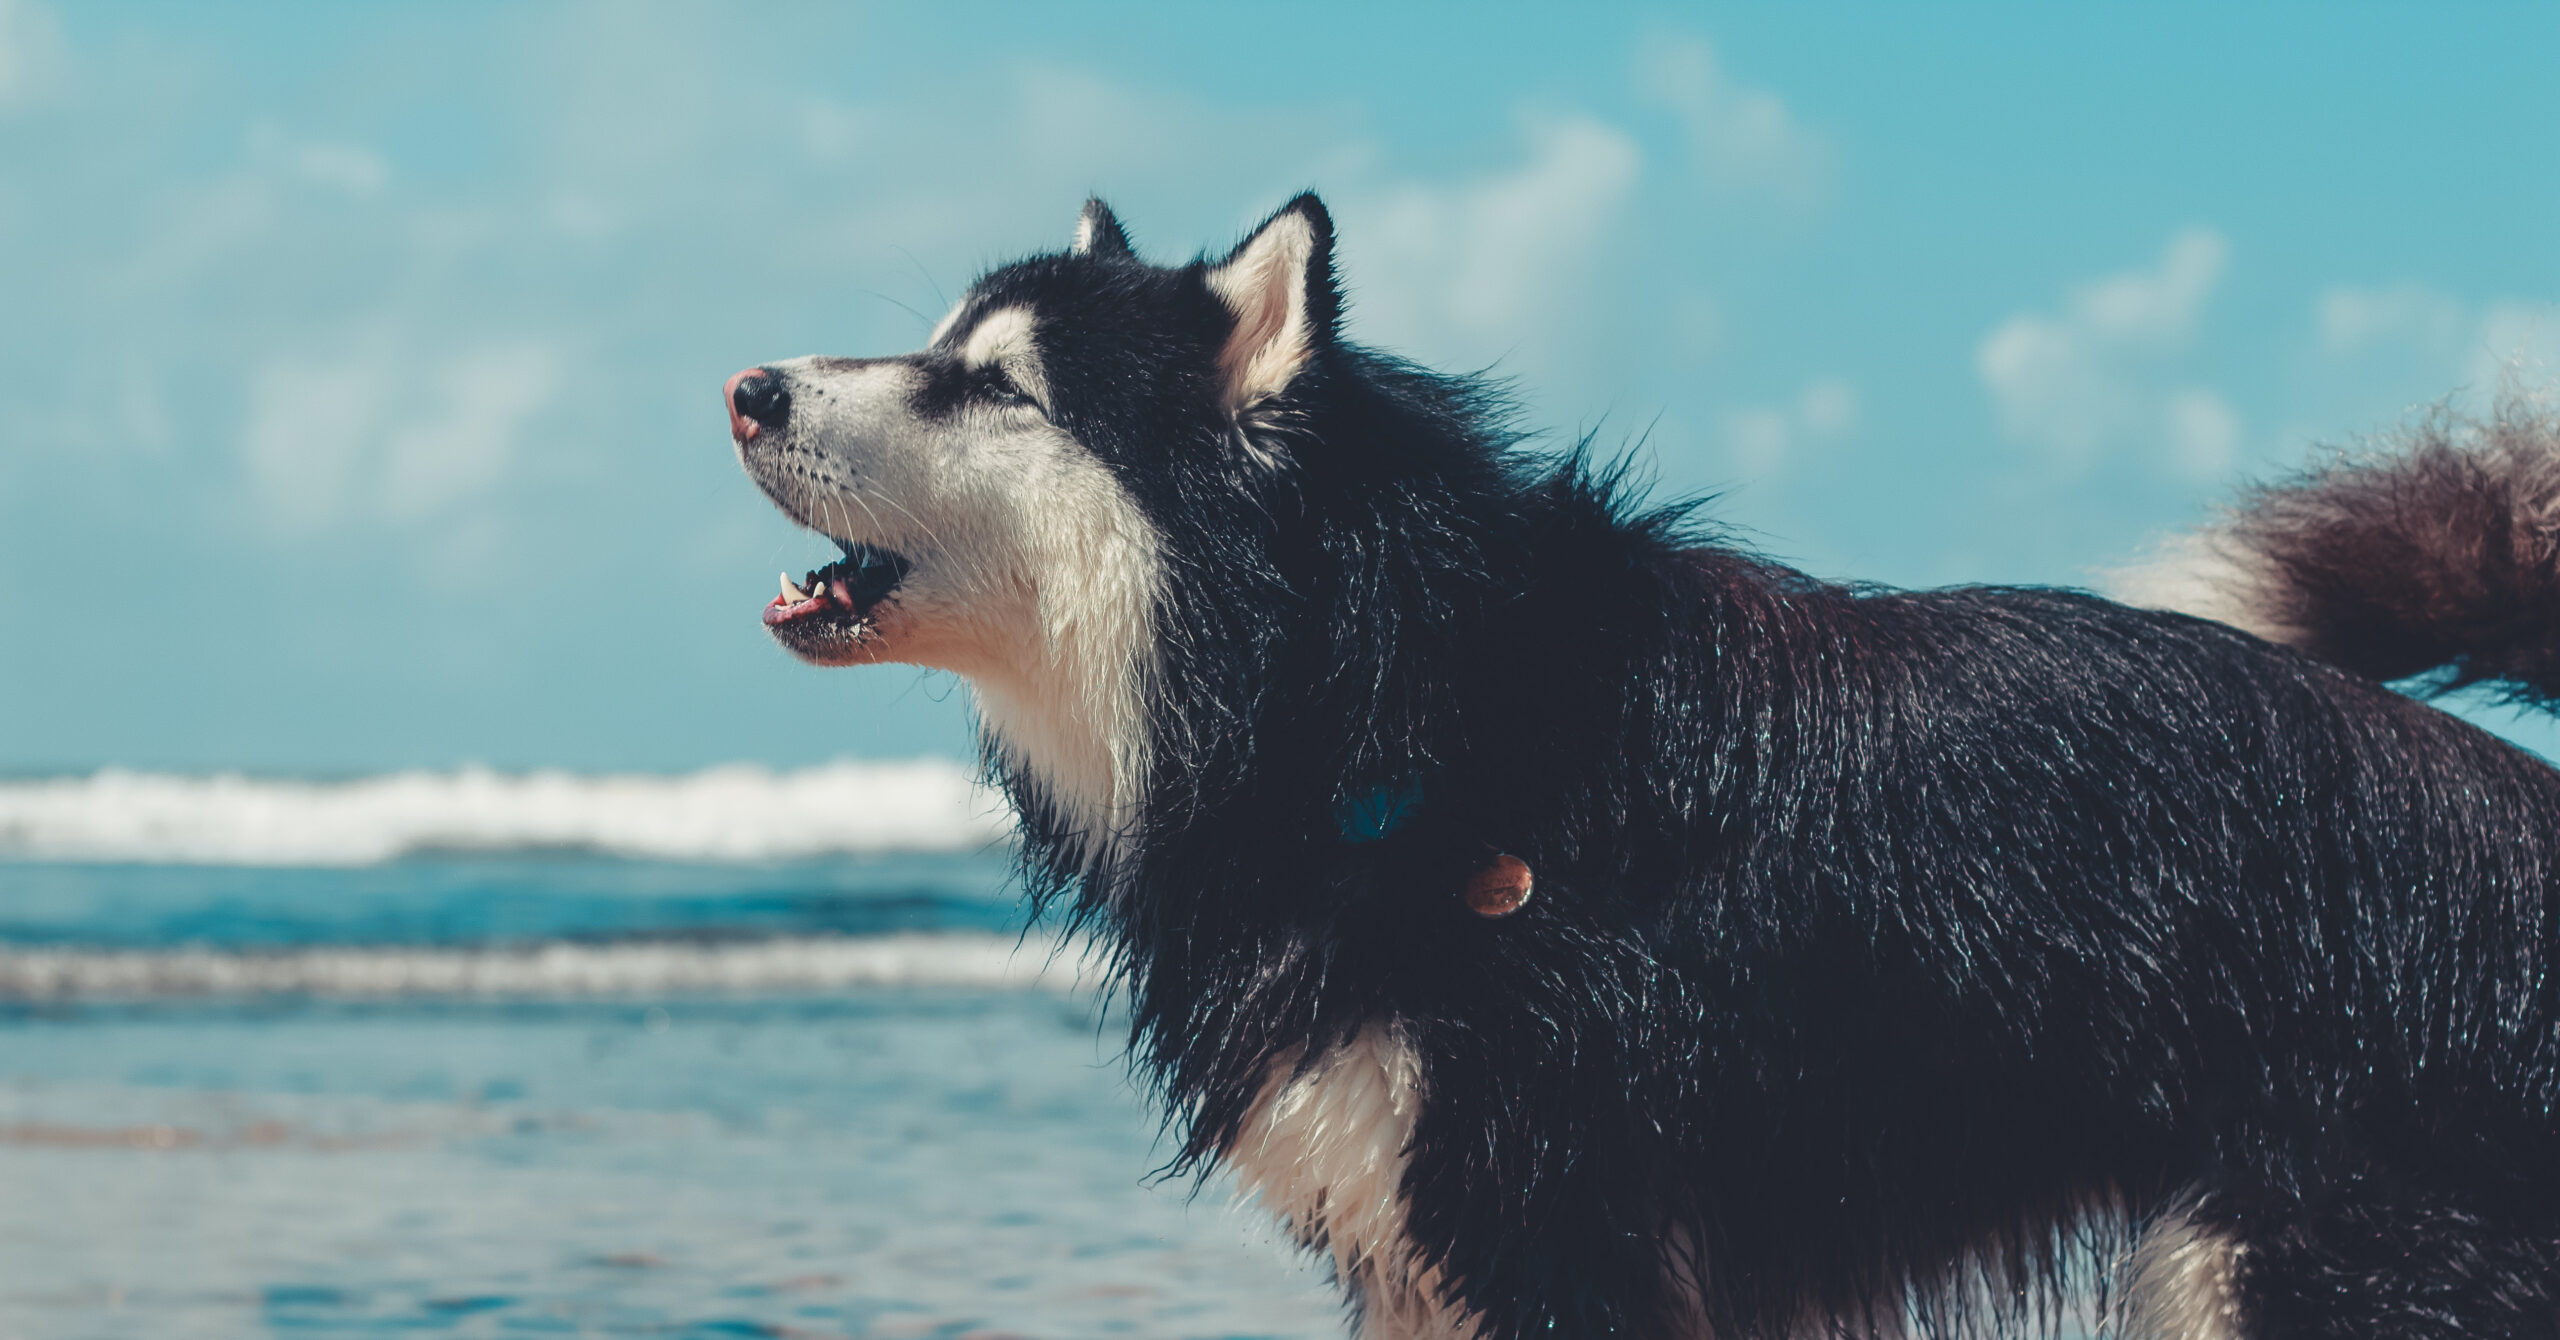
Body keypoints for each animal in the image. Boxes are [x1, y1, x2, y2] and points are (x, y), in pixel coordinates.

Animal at [721, 197, 2560, 1340]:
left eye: (994, 388)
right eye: (939, 345)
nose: (744, 387)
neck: (1378, 711)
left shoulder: (1552, 1229)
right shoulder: (1428, 1254)